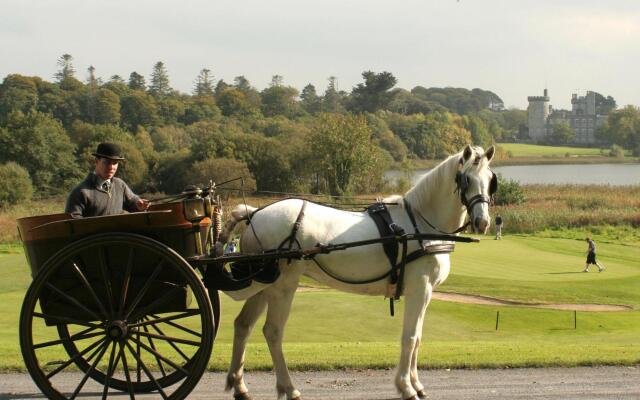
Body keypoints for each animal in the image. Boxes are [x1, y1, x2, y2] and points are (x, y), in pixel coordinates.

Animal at [218, 145, 498, 400]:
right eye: (466, 179)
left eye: (490, 180)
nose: (483, 222)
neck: (419, 224)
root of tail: (254, 213)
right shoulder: (419, 289)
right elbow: (409, 337)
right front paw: (406, 387)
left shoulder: (426, 293)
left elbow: (417, 338)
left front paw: (417, 384)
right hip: (283, 285)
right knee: (273, 331)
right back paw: (289, 388)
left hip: (264, 284)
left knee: (243, 325)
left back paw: (239, 385)